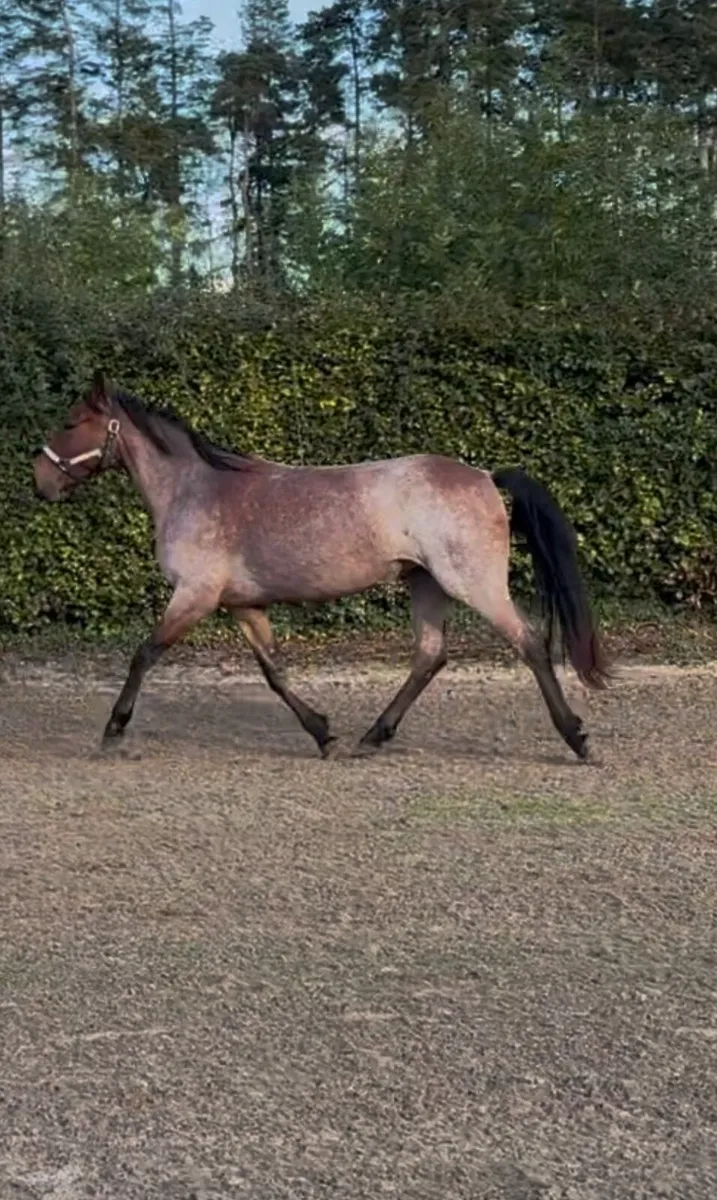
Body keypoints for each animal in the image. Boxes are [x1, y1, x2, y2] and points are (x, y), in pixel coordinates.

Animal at [34, 370, 608, 761]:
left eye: (69, 422)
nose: (39, 480)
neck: (195, 490)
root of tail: (486, 476)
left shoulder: (194, 595)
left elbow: (144, 654)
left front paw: (113, 731)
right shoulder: (243, 606)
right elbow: (273, 672)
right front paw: (323, 733)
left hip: (474, 583)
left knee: (529, 644)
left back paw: (577, 738)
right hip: (426, 585)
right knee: (430, 656)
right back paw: (372, 736)